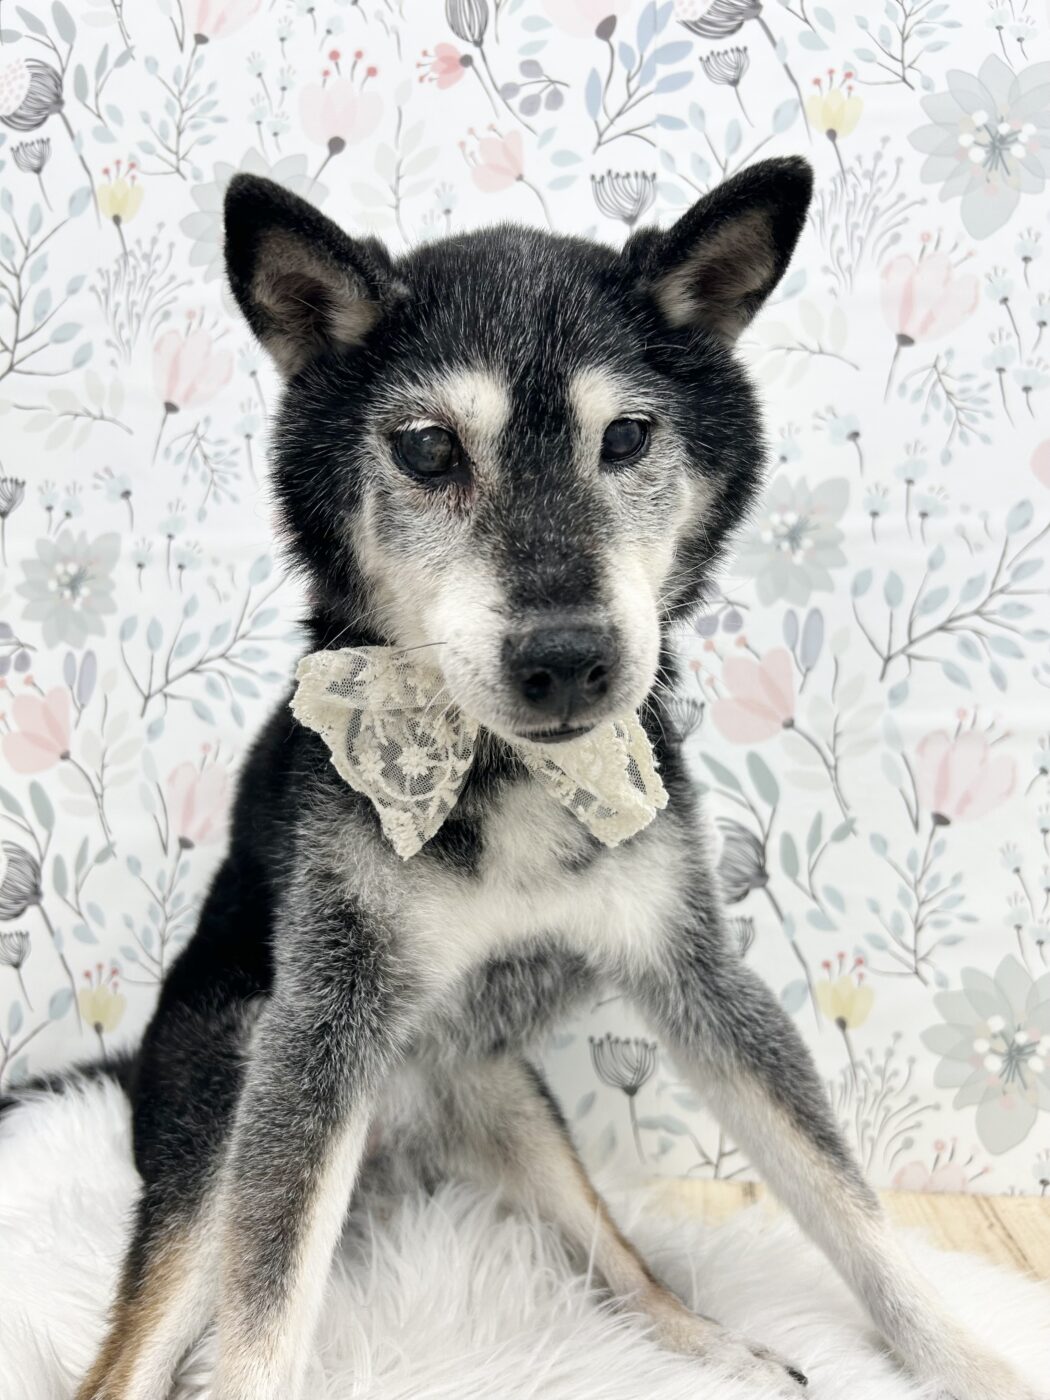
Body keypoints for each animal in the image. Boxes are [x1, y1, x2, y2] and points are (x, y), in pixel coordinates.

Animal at [23, 159, 1039, 1400]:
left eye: (630, 435)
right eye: (427, 449)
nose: (566, 657)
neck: (503, 770)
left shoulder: (698, 975)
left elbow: (851, 1209)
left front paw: (972, 1362)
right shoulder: (316, 1038)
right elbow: (263, 1320)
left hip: (512, 1102)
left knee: (621, 1263)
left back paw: (724, 1346)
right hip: (227, 1096)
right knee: (133, 1355)